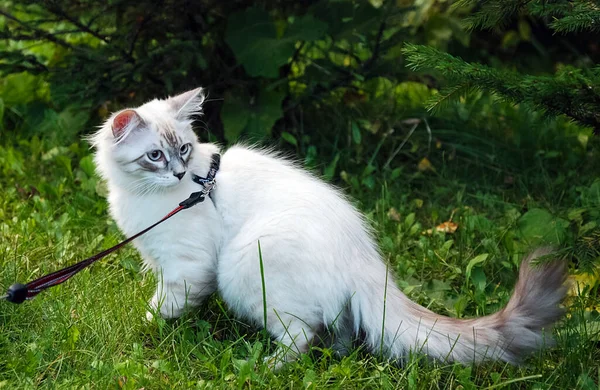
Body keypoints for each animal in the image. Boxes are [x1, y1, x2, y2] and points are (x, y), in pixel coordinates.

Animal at [91, 87, 568, 368]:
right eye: (156, 156)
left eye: (184, 150)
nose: (178, 174)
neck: (144, 197)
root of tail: (368, 262)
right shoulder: (166, 261)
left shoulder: (188, 266)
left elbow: (164, 305)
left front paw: (147, 329)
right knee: (336, 332)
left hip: (245, 268)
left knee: (301, 336)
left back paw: (266, 367)